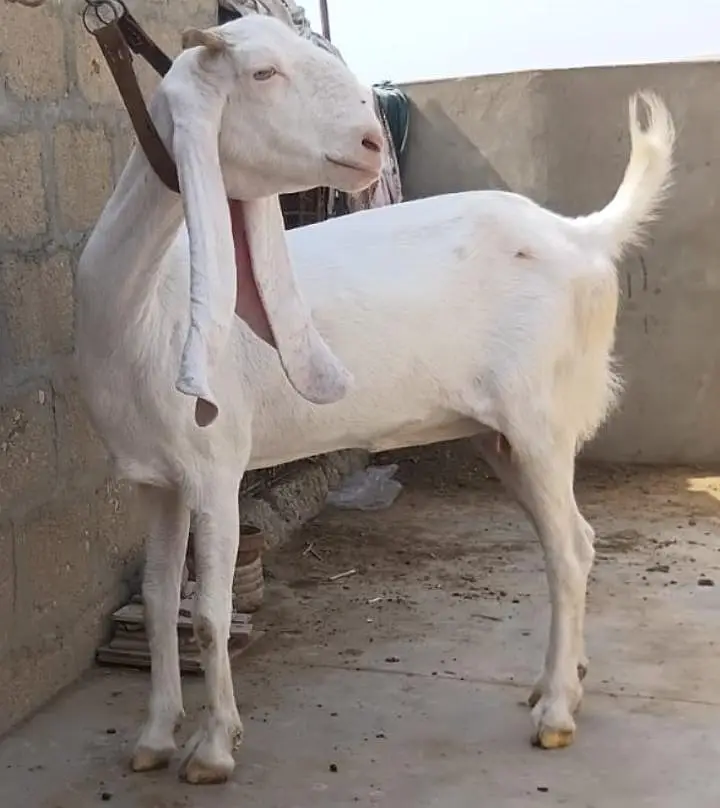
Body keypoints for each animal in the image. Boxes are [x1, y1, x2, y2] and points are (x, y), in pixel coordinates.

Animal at [75, 13, 676, 785]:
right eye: (263, 73)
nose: (368, 144)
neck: (151, 305)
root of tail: (581, 234)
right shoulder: (158, 478)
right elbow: (156, 603)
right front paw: (152, 737)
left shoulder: (216, 466)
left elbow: (208, 614)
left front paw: (212, 749)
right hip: (500, 435)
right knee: (573, 539)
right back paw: (557, 683)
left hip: (541, 418)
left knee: (569, 549)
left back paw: (554, 715)